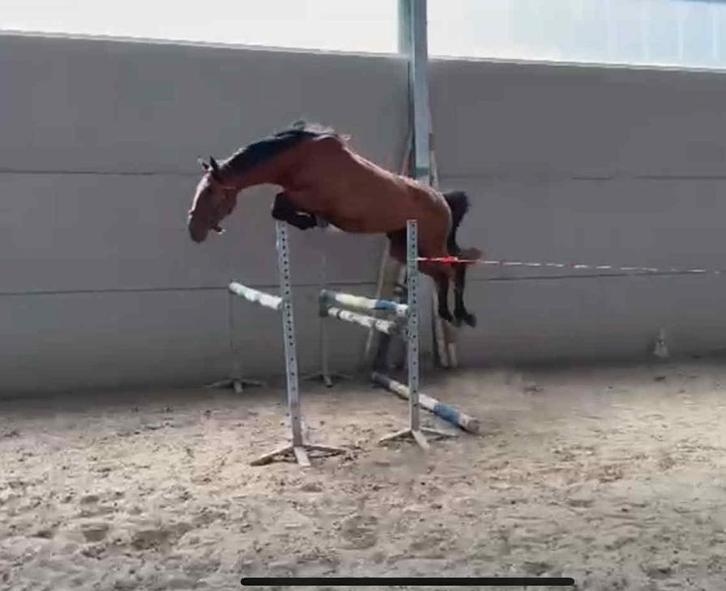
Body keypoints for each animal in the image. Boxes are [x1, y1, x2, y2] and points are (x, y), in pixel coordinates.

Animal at [187, 120, 481, 327]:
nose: (193, 231)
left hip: (428, 244)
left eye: (210, 192)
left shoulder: (309, 197)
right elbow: (279, 207)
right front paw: (310, 222)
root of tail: (442, 200)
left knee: (453, 267)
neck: (299, 159)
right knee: (448, 269)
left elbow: (278, 204)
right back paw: (454, 315)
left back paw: (456, 315)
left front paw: (309, 221)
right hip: (405, 249)